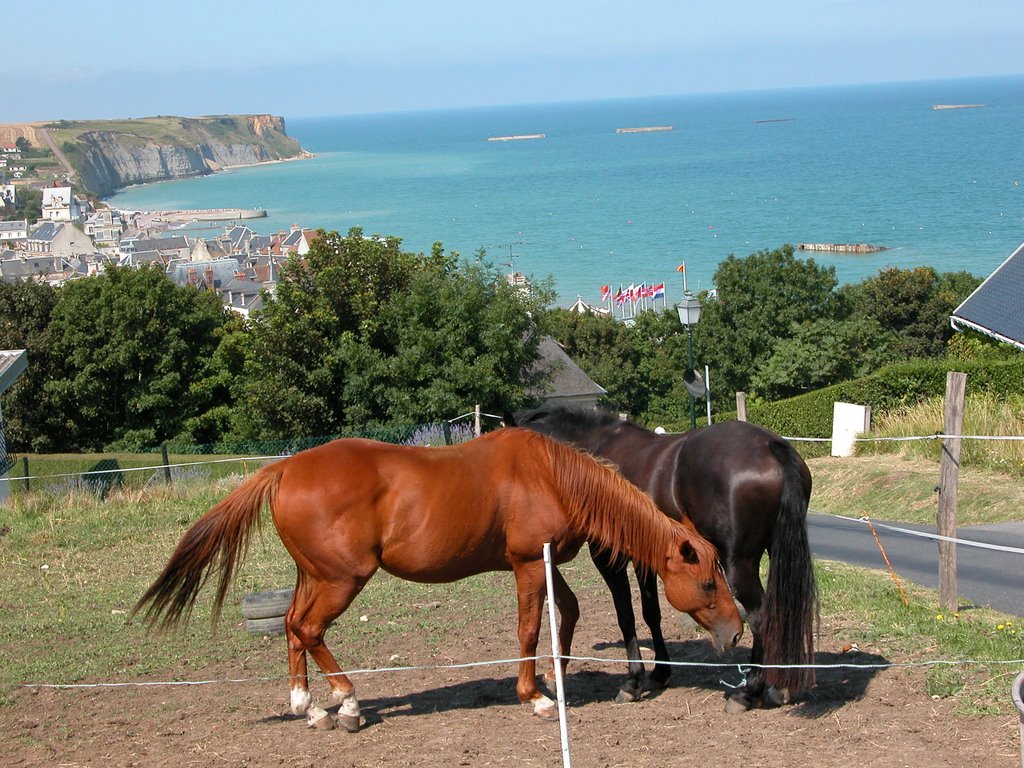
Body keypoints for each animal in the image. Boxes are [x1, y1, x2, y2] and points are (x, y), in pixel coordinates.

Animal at [136, 430, 745, 729]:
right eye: (708, 584)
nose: (735, 631)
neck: (551, 475)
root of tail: (285, 467)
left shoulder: (546, 563)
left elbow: (565, 615)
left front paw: (557, 680)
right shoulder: (528, 564)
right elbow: (529, 628)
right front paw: (535, 697)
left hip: (314, 577)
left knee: (291, 627)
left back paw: (308, 707)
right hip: (341, 581)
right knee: (308, 630)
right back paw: (348, 703)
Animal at [507, 405, 819, 712]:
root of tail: (770, 445)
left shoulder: (609, 559)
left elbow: (626, 615)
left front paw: (633, 682)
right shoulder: (647, 559)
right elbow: (650, 612)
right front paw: (660, 672)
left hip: (738, 565)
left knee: (761, 618)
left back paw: (748, 692)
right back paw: (778, 686)